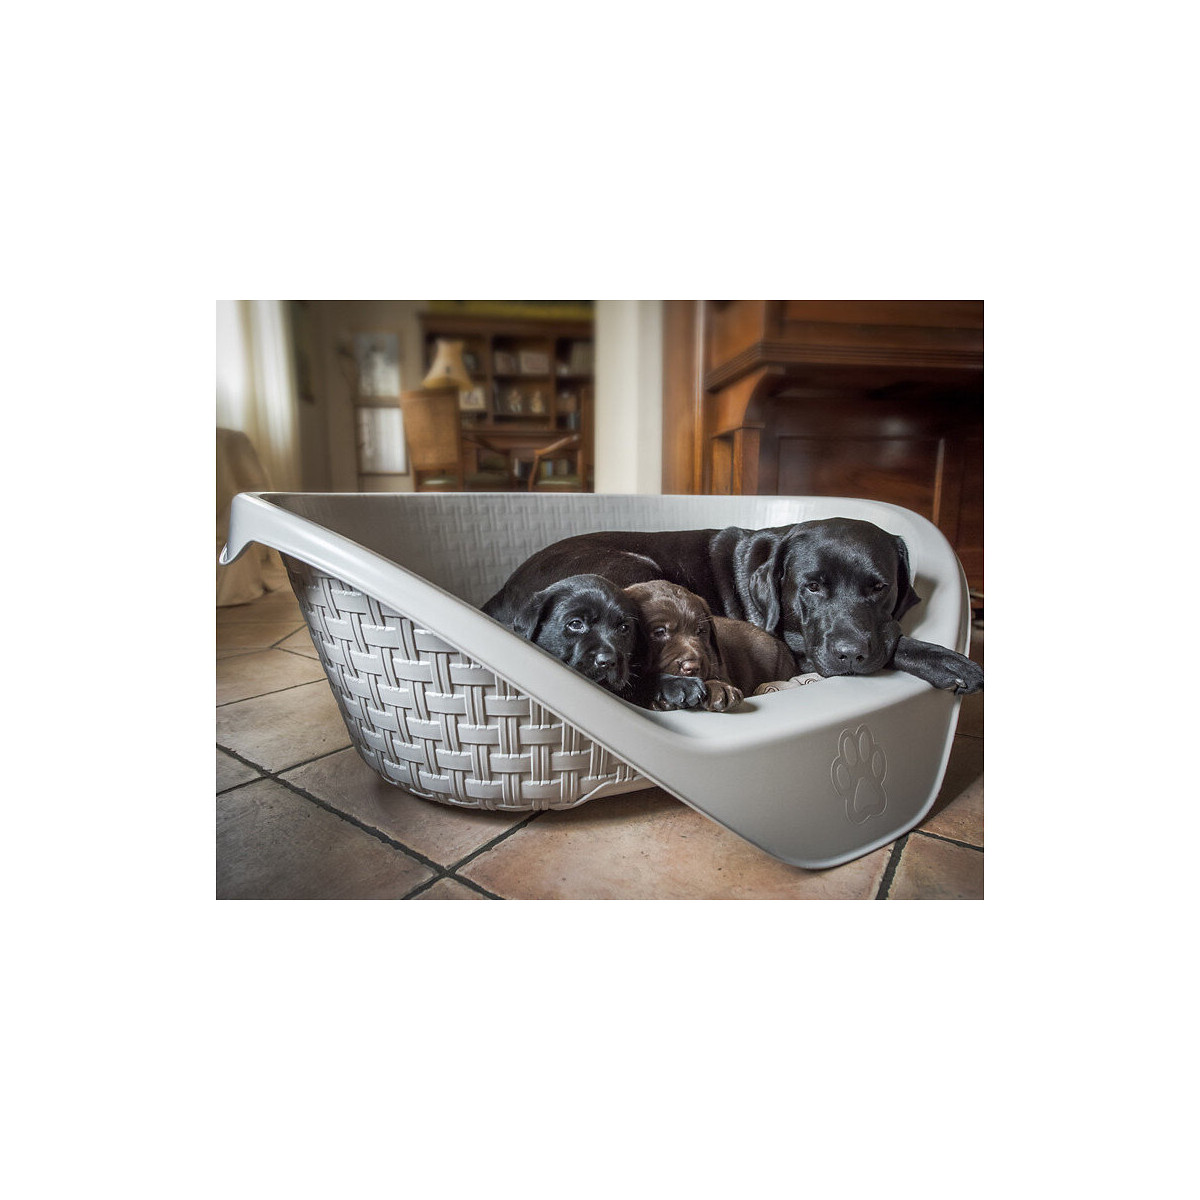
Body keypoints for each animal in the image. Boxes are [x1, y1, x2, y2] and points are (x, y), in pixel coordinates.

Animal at [483, 518, 983, 694]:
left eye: (879, 588)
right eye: (812, 587)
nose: (850, 654)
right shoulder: (799, 647)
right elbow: (897, 643)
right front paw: (947, 662)